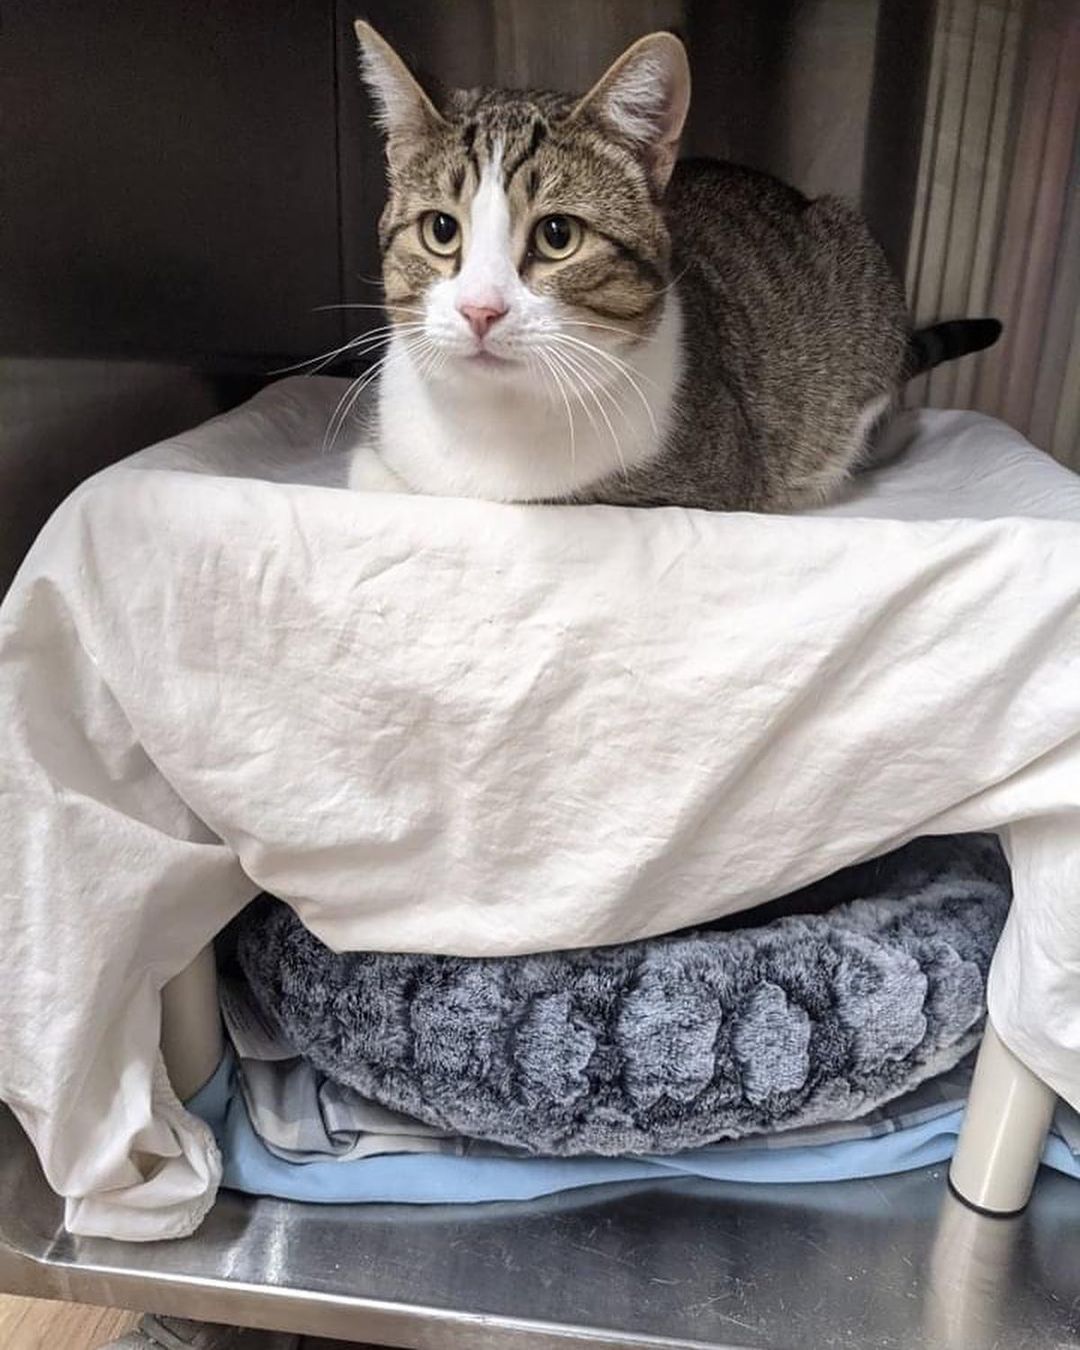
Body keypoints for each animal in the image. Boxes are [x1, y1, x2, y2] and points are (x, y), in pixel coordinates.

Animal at [345, 23, 993, 513]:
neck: (491, 418)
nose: (480, 309)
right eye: (441, 229)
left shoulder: (700, 481)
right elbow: (368, 471)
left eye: (558, 236)